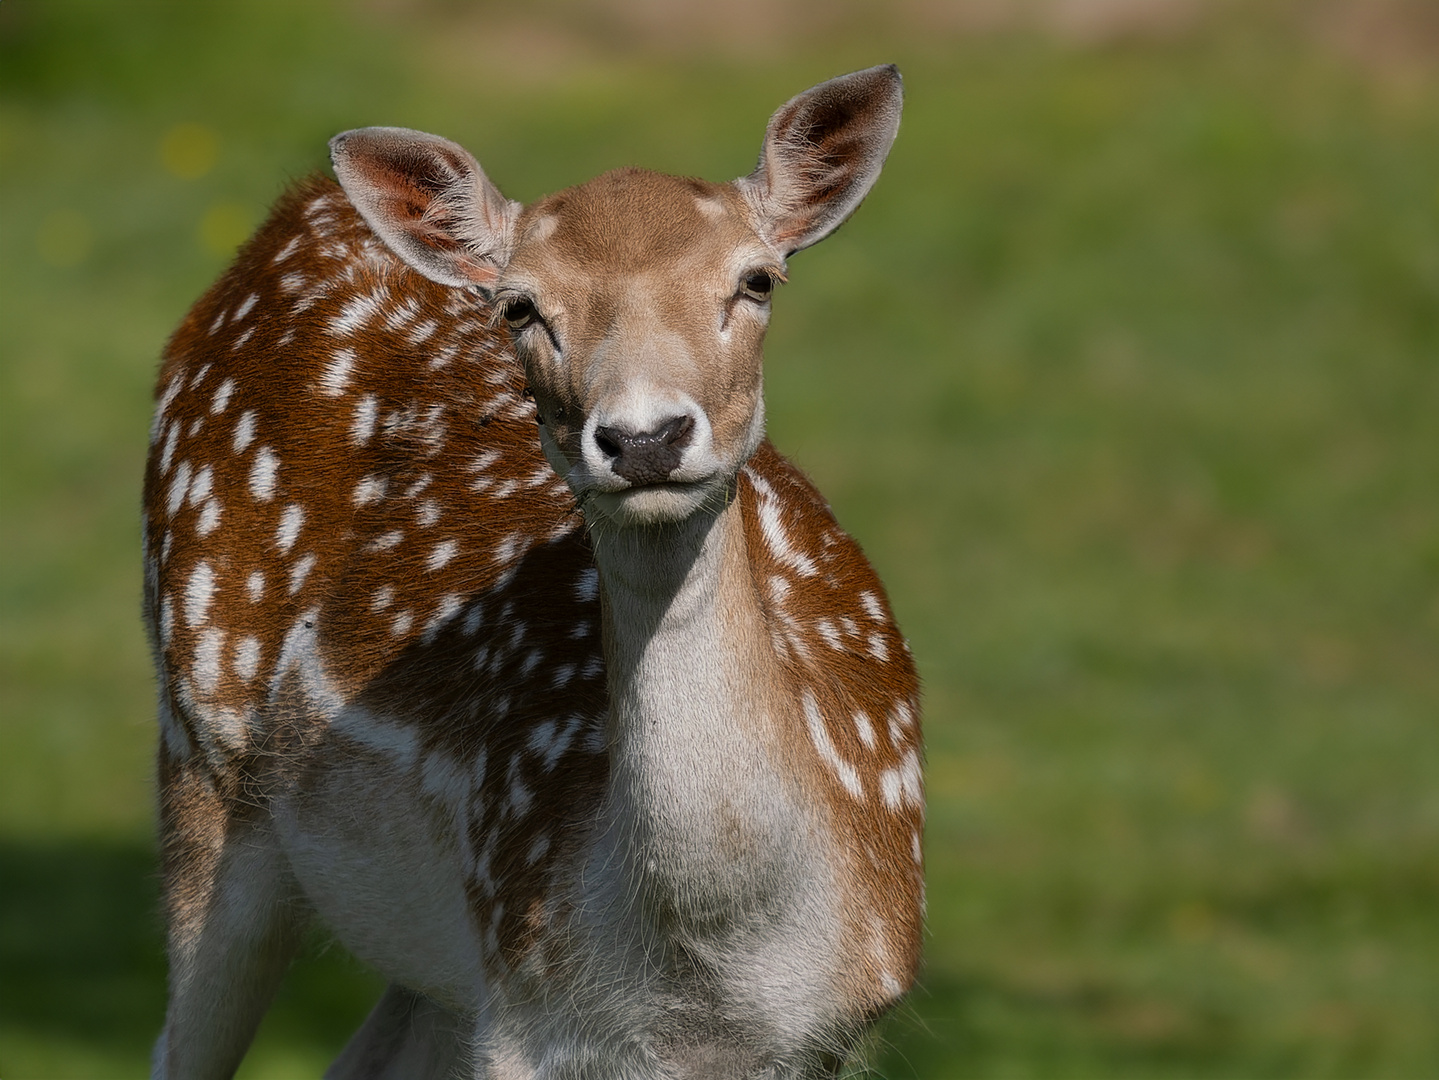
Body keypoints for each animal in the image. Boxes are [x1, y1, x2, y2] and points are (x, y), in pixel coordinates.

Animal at [143, 67, 920, 1080]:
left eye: (756, 279)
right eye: (519, 306)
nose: (644, 437)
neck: (702, 990)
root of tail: (294, 213)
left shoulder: (833, 1025)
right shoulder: (525, 1000)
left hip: (434, 967)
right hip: (199, 757)